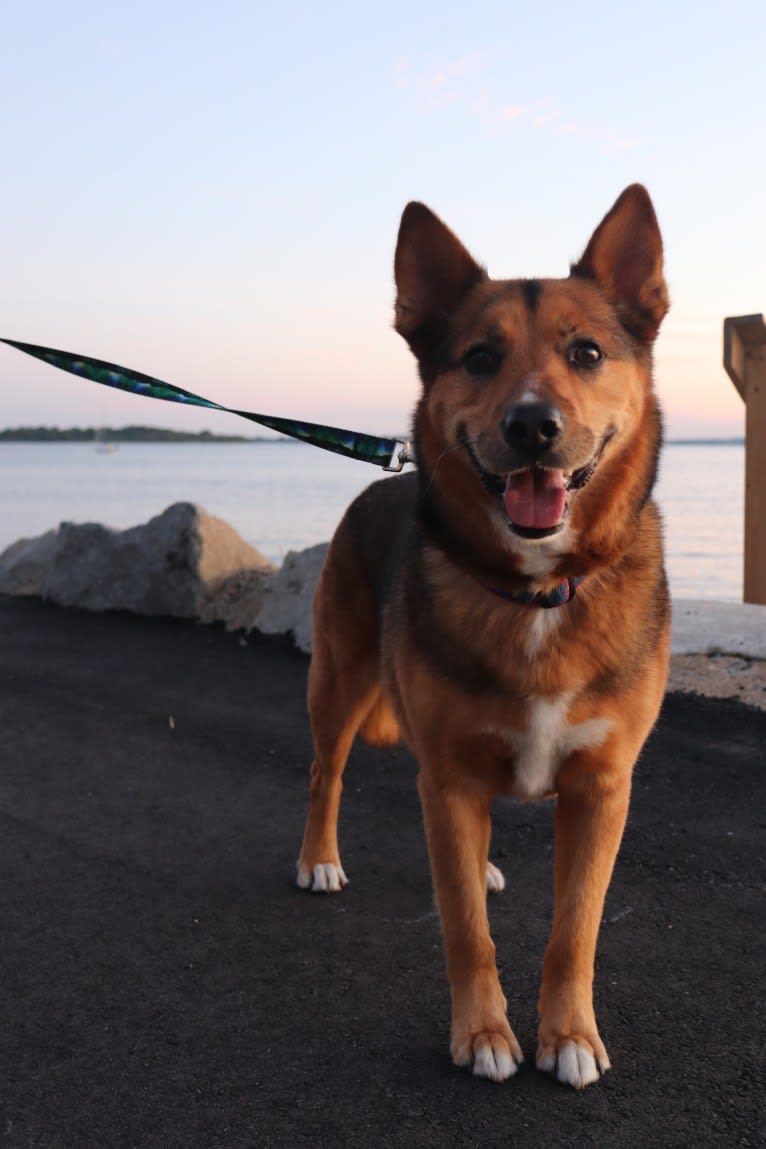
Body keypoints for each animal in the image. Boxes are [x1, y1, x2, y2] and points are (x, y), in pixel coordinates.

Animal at [296, 186, 666, 1084]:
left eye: (587, 351)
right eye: (478, 357)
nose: (534, 425)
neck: (536, 591)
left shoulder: (602, 789)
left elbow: (575, 930)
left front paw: (569, 1034)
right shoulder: (449, 778)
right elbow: (464, 927)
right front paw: (485, 1033)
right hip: (340, 685)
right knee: (326, 772)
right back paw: (318, 858)